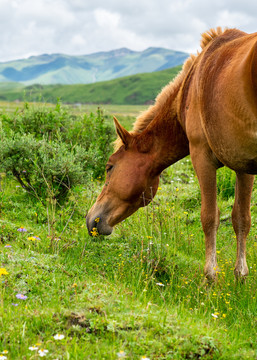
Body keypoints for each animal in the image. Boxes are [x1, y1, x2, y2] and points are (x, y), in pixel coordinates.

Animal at [86, 28, 256, 282]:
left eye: (109, 167)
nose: (91, 219)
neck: (188, 90)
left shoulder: (202, 157)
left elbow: (209, 217)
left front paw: (210, 277)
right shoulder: (242, 164)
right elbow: (241, 219)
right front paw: (240, 277)